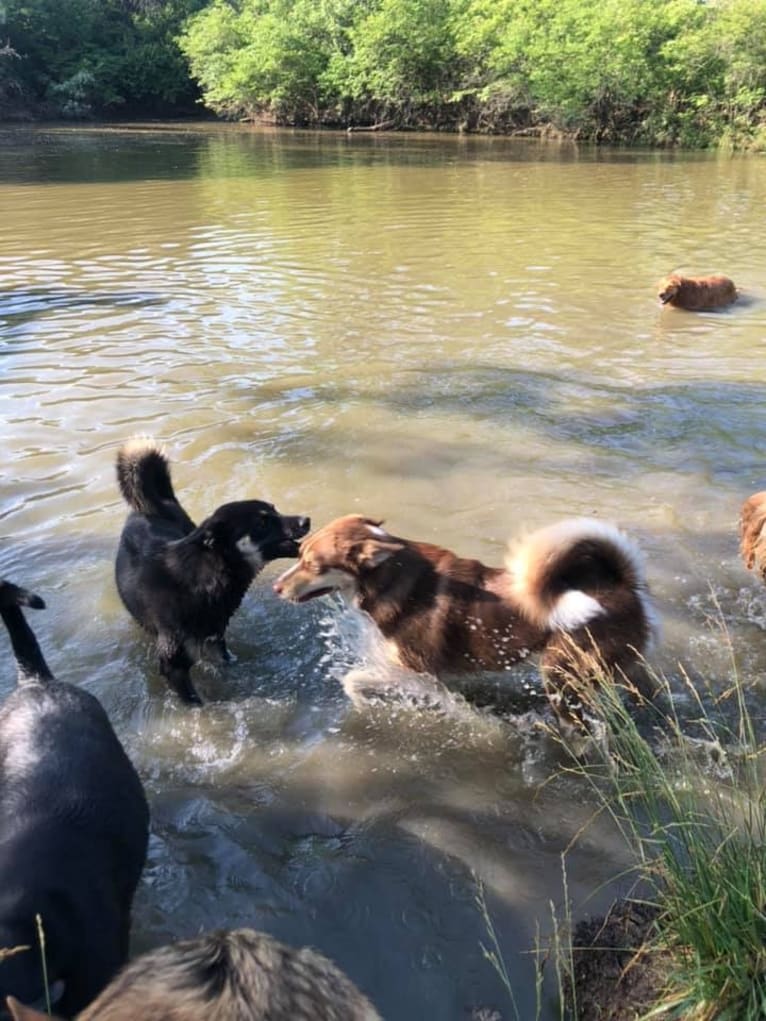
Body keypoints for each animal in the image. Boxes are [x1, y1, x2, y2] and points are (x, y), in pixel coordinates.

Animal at [113, 434, 308, 706]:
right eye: (262, 522)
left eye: (275, 509)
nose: (306, 521)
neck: (201, 581)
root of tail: (154, 505)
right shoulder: (173, 665)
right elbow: (196, 704)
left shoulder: (216, 642)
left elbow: (228, 666)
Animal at [273, 510, 661, 718]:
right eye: (299, 555)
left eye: (313, 565)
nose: (275, 587)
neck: (390, 578)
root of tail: (621, 582)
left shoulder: (417, 673)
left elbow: (352, 679)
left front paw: (363, 703)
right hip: (620, 668)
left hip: (563, 675)